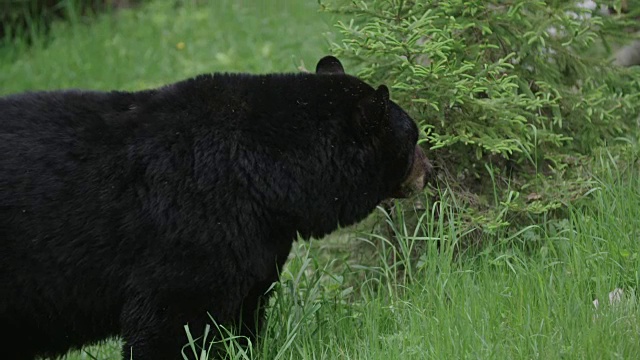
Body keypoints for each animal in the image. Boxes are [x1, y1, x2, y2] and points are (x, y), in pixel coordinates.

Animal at [0, 54, 432, 358]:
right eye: (412, 136)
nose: (430, 169)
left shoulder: (254, 242)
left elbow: (244, 310)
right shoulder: (190, 230)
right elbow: (171, 323)